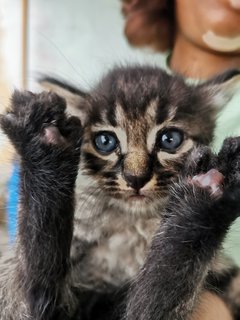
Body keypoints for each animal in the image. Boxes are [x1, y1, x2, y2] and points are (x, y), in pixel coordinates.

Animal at [0, 65, 240, 320]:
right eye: (105, 141)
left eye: (170, 140)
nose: (135, 178)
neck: (133, 228)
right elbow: (31, 279)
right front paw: (44, 138)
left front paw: (201, 204)